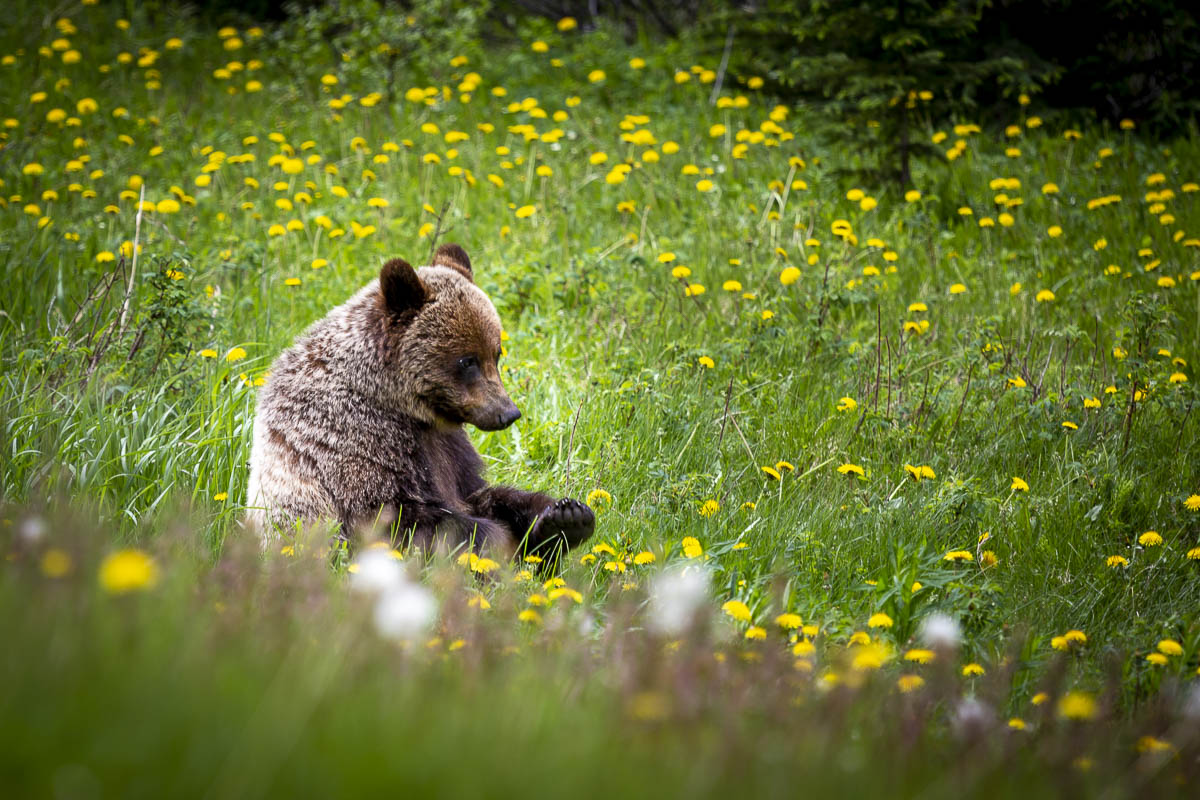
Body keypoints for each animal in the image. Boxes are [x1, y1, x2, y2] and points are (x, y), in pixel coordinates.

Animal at [247, 241, 595, 561]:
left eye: (495, 354)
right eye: (467, 360)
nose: (508, 413)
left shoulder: (449, 449)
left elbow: (483, 493)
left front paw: (564, 517)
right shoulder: (354, 442)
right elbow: (400, 517)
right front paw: (498, 542)